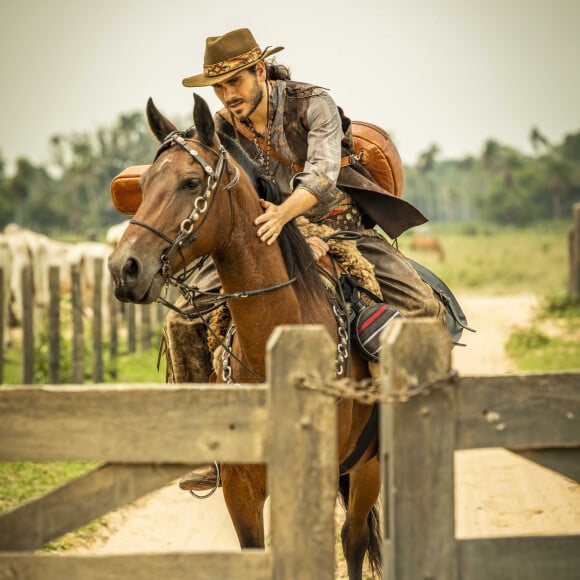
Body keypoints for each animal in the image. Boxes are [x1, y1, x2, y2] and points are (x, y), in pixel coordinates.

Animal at [107, 95, 380, 580]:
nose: (126, 268)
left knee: (354, 539)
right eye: (145, 184)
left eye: (191, 181)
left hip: (369, 468)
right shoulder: (241, 490)